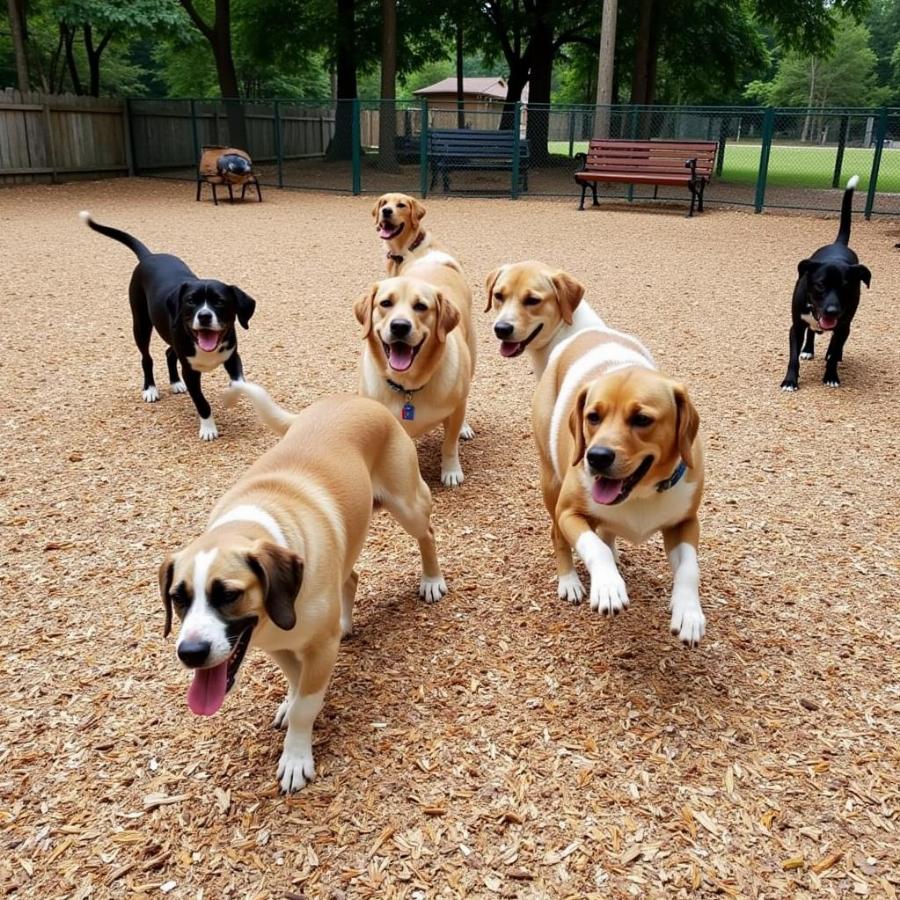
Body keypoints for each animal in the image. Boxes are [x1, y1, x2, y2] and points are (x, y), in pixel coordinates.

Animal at [79, 211, 255, 436]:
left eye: (219, 301)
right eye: (191, 301)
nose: (204, 316)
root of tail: (149, 256)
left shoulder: (232, 357)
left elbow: (239, 381)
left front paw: (232, 397)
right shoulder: (190, 372)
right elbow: (202, 402)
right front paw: (208, 429)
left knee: (169, 353)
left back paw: (175, 383)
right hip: (141, 325)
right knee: (147, 359)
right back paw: (150, 389)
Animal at [160, 384, 448, 792]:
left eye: (229, 594)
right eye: (178, 598)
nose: (190, 653)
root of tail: (359, 400)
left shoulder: (316, 647)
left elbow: (305, 705)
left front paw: (296, 757)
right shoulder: (276, 643)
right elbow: (296, 683)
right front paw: (290, 703)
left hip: (407, 504)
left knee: (427, 535)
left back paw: (431, 581)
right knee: (351, 578)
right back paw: (344, 624)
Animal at [354, 256, 474, 488]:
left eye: (421, 306)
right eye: (385, 303)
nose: (400, 326)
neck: (407, 385)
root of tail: (436, 262)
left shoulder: (454, 412)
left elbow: (449, 444)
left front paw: (451, 471)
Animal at [532, 324, 708, 648]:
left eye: (642, 419)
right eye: (593, 417)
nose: (596, 457)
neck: (640, 494)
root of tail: (587, 331)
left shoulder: (685, 522)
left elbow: (690, 568)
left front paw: (689, 612)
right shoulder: (568, 513)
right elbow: (592, 548)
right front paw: (608, 584)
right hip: (551, 483)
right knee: (558, 535)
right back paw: (569, 580)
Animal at [780, 174, 872, 388]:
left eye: (846, 287)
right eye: (820, 285)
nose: (832, 311)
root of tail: (838, 244)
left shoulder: (843, 326)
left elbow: (834, 352)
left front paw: (831, 376)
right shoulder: (796, 326)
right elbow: (793, 357)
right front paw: (790, 380)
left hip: (845, 324)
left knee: (835, 347)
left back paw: (834, 355)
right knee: (812, 333)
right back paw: (808, 349)